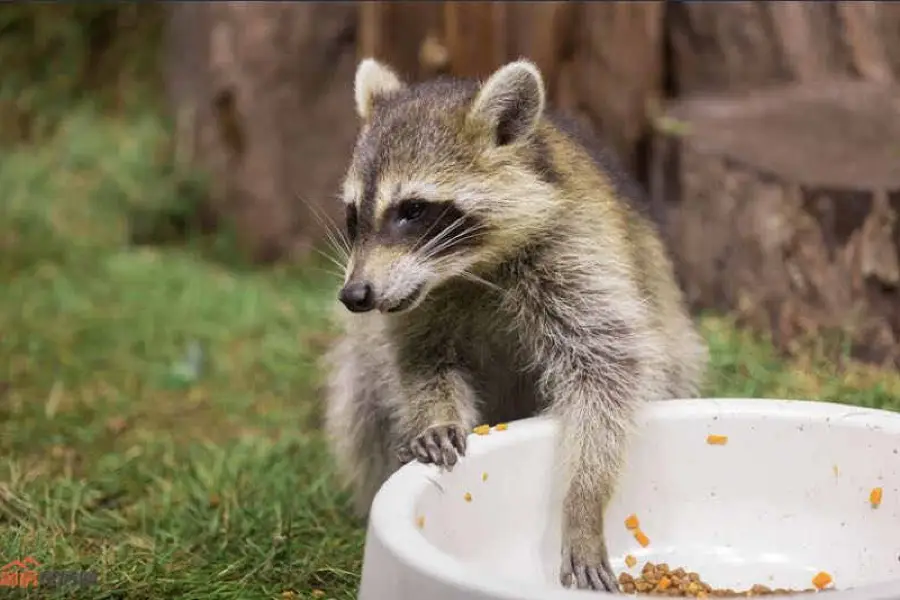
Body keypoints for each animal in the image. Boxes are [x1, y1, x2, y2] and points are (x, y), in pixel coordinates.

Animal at [320, 58, 708, 592]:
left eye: (412, 210)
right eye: (353, 214)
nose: (355, 296)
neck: (469, 268)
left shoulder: (576, 250)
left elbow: (607, 370)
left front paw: (584, 500)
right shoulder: (414, 303)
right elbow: (420, 360)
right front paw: (435, 415)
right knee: (361, 391)